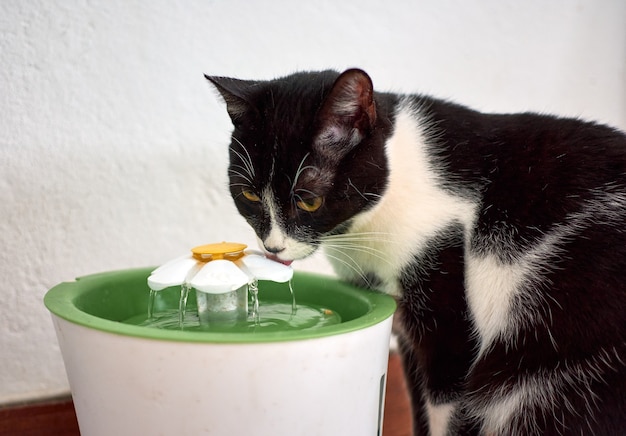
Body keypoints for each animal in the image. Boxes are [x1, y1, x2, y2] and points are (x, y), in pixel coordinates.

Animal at [207, 70, 624, 434]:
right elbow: (419, 407)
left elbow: (446, 405)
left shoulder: (448, 313)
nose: (273, 246)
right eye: (248, 196)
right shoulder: (405, 330)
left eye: (308, 200)